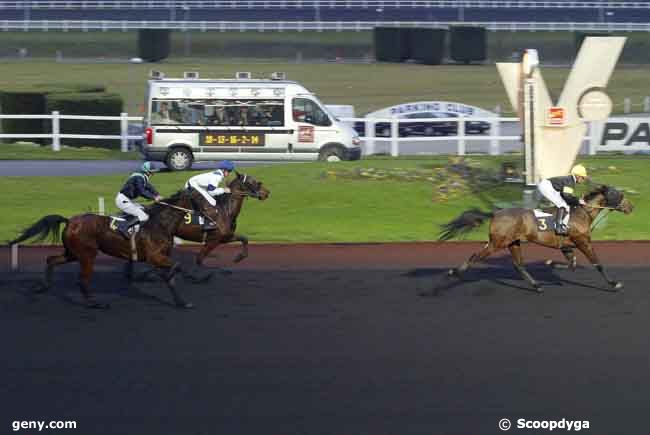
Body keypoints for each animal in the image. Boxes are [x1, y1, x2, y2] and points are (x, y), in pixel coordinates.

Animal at [7, 191, 205, 310]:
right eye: (199, 198)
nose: (207, 215)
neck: (160, 224)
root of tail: (70, 221)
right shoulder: (155, 257)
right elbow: (177, 266)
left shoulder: (161, 257)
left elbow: (173, 276)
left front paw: (182, 302)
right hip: (87, 254)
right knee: (82, 279)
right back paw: (94, 303)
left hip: (73, 253)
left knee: (51, 260)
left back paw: (43, 286)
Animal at [438, 185, 632, 292]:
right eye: (620, 195)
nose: (631, 207)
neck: (582, 212)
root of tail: (495, 213)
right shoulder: (583, 241)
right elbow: (597, 263)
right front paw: (614, 283)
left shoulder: (567, 245)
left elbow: (572, 263)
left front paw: (552, 264)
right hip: (497, 242)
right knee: (475, 257)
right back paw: (452, 273)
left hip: (513, 242)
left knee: (519, 265)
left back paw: (537, 285)